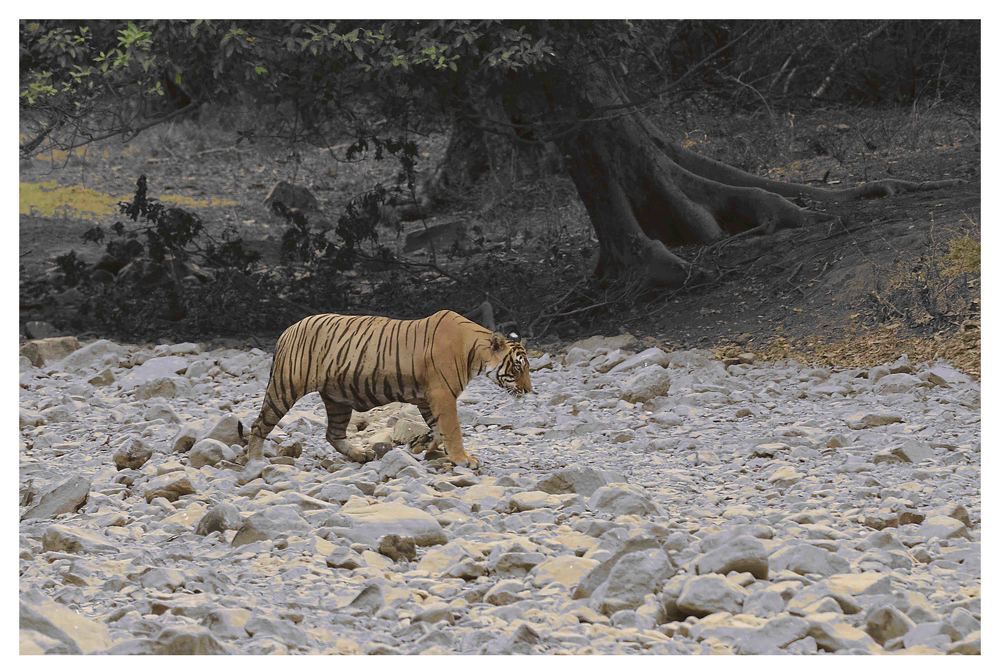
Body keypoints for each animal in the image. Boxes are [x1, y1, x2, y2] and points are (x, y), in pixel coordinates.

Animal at [244, 309, 533, 474]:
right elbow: (452, 430)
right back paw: (256, 461)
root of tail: (288, 330)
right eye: (518, 368)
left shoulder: (427, 398)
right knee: (259, 425)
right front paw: (463, 459)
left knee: (333, 433)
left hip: (338, 399)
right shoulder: (442, 395)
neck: (474, 352)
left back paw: (361, 454)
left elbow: (437, 429)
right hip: (285, 387)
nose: (530, 391)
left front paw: (421, 446)